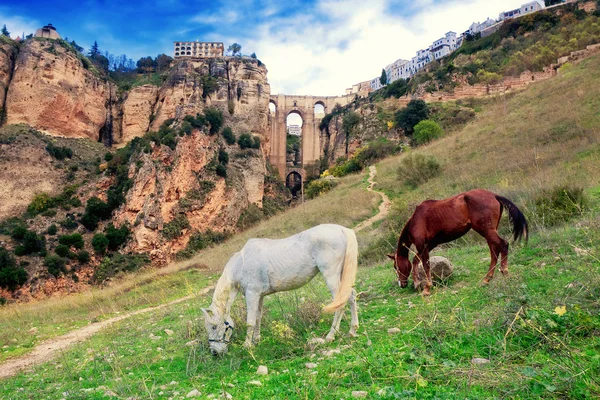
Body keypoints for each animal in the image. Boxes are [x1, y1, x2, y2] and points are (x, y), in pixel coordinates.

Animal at [202, 223, 360, 354]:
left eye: (214, 326)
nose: (215, 353)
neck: (241, 264)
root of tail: (342, 229)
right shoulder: (260, 296)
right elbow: (258, 318)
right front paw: (256, 341)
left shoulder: (252, 294)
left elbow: (250, 321)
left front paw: (247, 346)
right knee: (351, 296)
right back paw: (352, 331)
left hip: (331, 274)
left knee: (340, 302)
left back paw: (330, 336)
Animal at [390, 189, 524, 296]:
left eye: (396, 266)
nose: (401, 284)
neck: (416, 220)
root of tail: (494, 195)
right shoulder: (429, 245)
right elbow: (415, 261)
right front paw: (417, 283)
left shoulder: (422, 245)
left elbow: (425, 265)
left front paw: (427, 288)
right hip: (489, 232)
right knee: (494, 251)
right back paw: (487, 279)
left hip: (487, 231)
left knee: (503, 245)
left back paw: (505, 273)